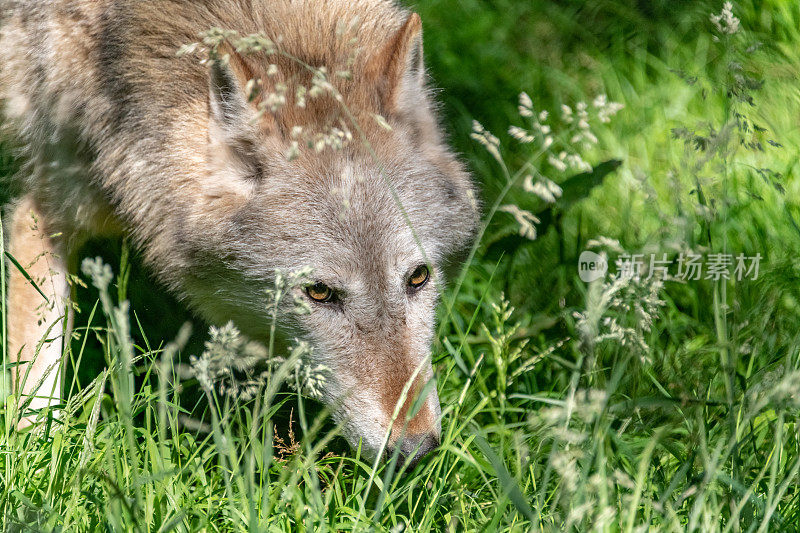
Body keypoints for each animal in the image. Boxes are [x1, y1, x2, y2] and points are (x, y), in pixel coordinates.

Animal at [0, 0, 476, 466]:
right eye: (319, 292)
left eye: (418, 277)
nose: (416, 452)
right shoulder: (41, 216)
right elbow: (37, 390)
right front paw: (36, 462)